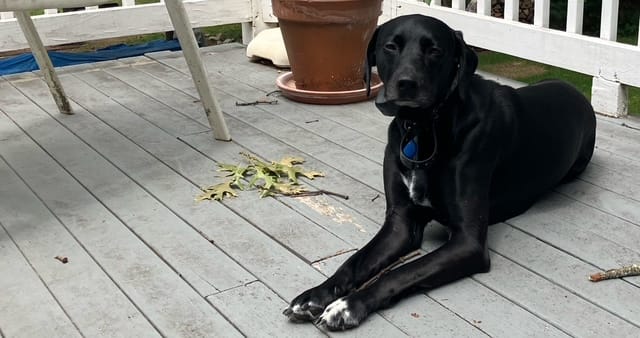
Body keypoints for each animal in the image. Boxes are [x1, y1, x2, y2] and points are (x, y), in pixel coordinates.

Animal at [282, 15, 596, 330]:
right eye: (390, 46)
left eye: (435, 51)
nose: (406, 84)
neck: (422, 128)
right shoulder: (400, 222)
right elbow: (355, 261)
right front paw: (316, 294)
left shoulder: (468, 242)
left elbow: (403, 272)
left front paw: (349, 305)